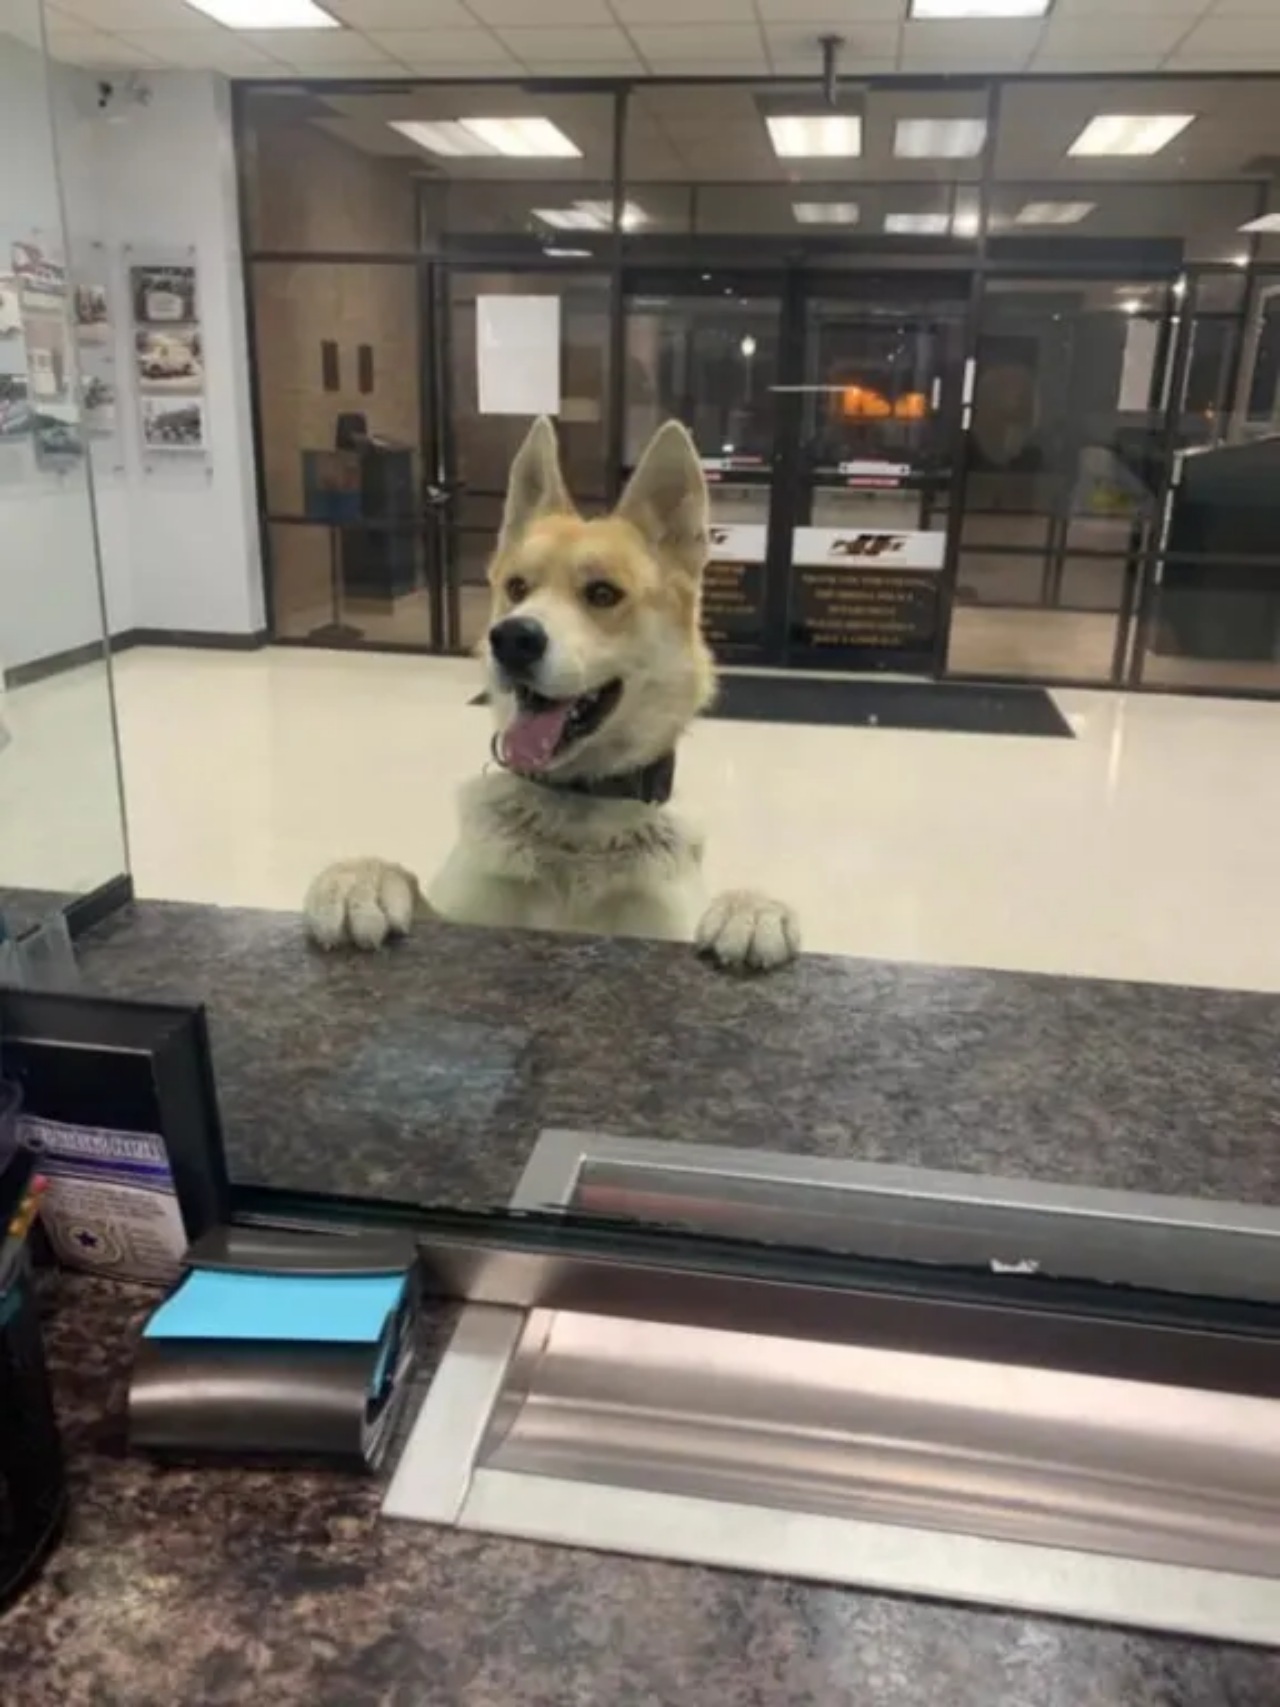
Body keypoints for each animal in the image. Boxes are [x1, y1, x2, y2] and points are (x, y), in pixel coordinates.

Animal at [303, 413, 798, 976]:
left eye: (602, 593)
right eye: (517, 588)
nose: (513, 639)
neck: (577, 809)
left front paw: (752, 908)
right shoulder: (464, 912)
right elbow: (407, 881)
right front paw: (358, 879)